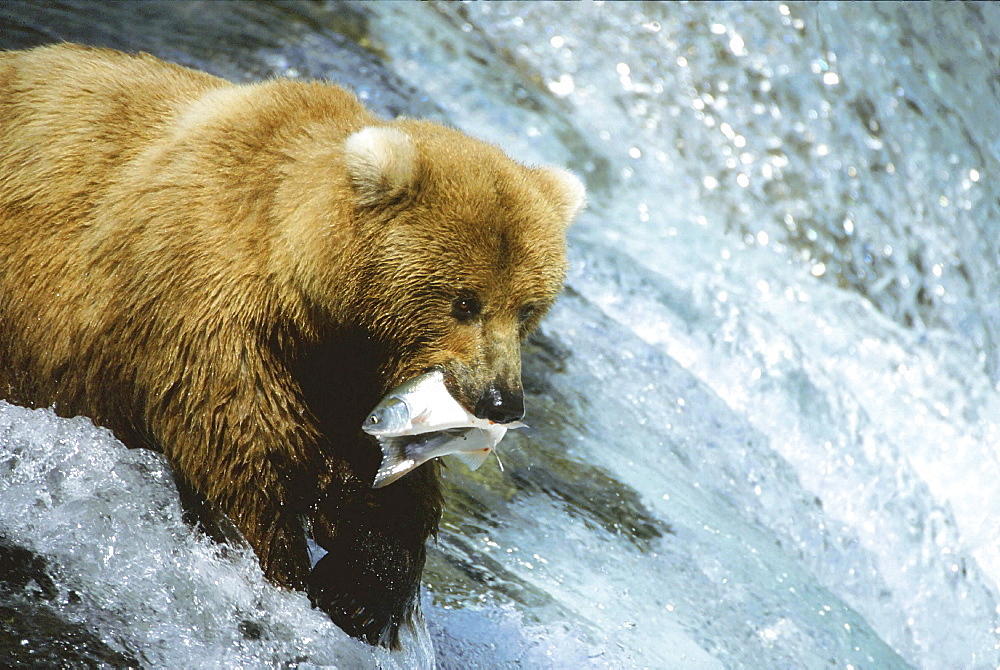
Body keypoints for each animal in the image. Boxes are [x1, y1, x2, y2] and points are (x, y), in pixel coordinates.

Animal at [0, 43, 584, 652]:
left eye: (527, 308)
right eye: (465, 302)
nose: (502, 401)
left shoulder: (354, 372)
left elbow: (384, 486)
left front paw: (358, 587)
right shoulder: (212, 318)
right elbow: (244, 454)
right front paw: (284, 572)